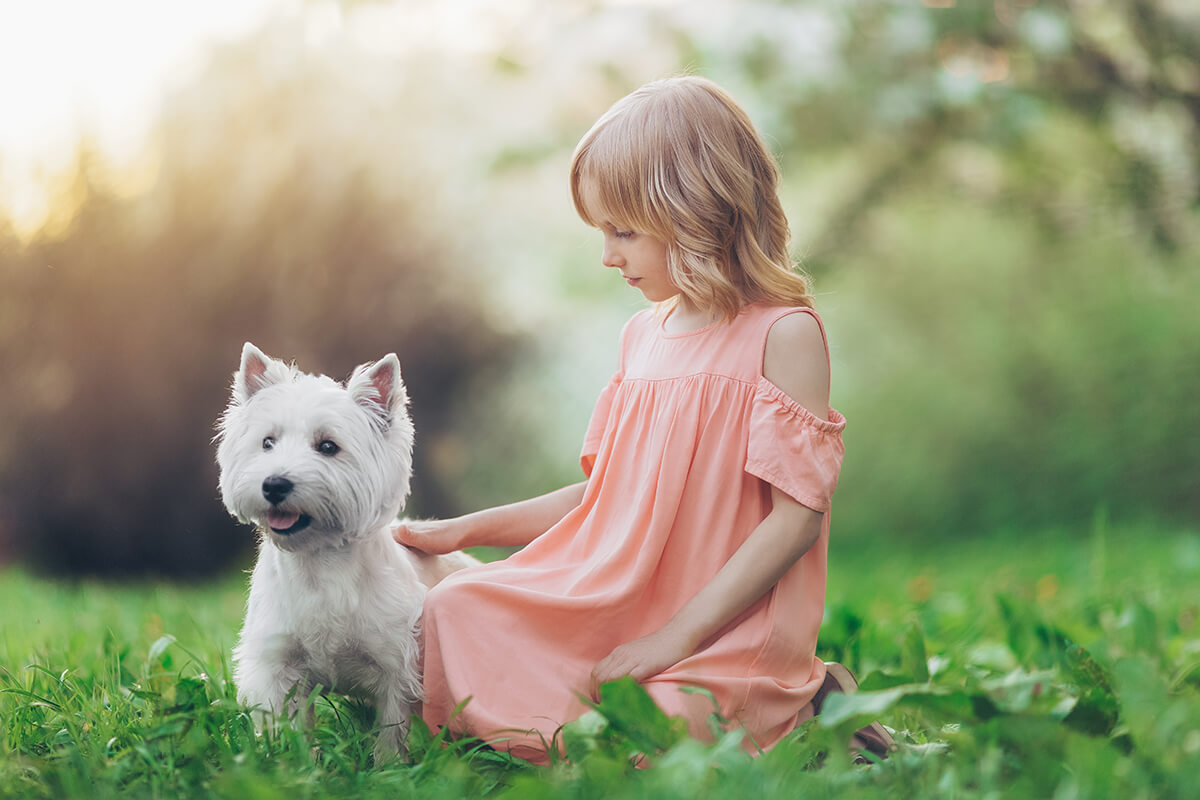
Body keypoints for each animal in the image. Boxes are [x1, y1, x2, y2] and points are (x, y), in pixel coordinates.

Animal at [213, 340, 475, 762]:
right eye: (267, 442)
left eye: (327, 447)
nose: (274, 484)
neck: (319, 561)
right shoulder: (277, 662)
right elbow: (283, 726)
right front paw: (288, 761)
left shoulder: (397, 665)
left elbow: (393, 727)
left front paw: (390, 766)